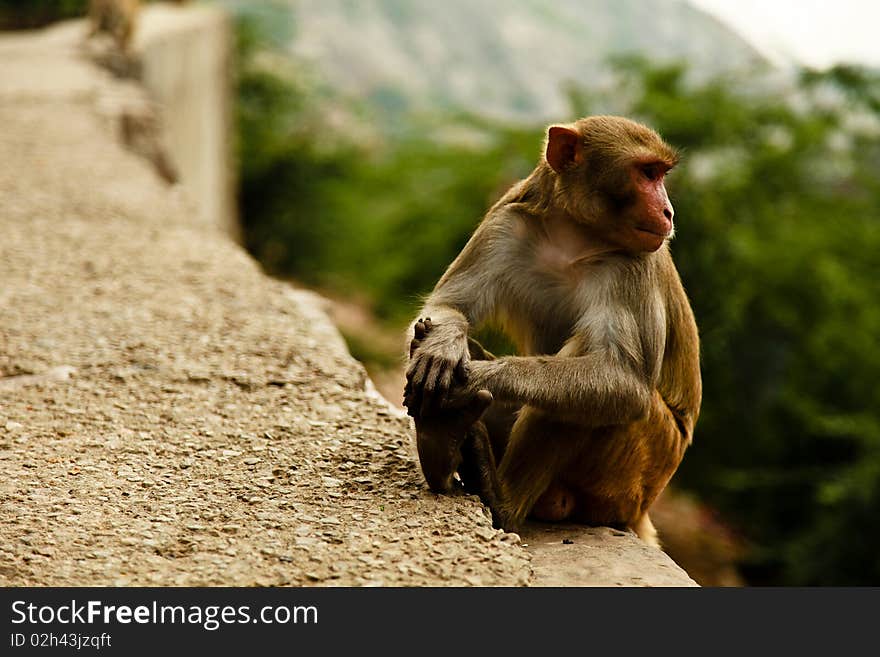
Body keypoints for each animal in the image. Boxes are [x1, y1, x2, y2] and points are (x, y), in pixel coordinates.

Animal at [406, 115, 700, 544]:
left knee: (584, 390)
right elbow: (449, 306)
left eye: (659, 174)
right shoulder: (505, 224)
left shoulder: (634, 264)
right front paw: (441, 347)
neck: (574, 235)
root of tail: (642, 510)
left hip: (640, 468)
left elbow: (625, 382)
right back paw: (441, 439)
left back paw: (499, 501)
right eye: (648, 173)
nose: (668, 211)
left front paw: (474, 376)